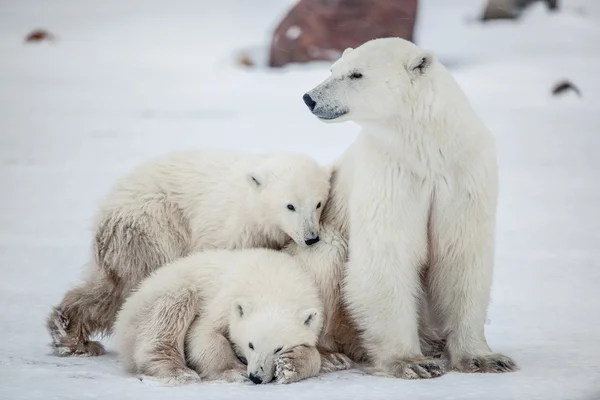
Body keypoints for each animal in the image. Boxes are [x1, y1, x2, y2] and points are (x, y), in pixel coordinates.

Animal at [47, 149, 330, 356]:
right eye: (290, 205)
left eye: (318, 203)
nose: (311, 238)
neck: (250, 208)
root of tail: (106, 208)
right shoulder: (224, 230)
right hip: (151, 226)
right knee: (130, 284)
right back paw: (73, 335)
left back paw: (70, 333)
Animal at [115, 247, 326, 384]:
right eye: (250, 344)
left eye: (278, 348)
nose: (256, 377)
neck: (274, 282)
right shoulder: (227, 298)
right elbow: (204, 332)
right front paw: (235, 372)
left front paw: (290, 366)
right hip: (154, 300)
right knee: (173, 306)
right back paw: (179, 371)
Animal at [302, 37, 516, 378]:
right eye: (333, 69)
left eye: (356, 74)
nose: (309, 98)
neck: (426, 148)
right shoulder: (391, 172)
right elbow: (389, 253)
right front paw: (411, 362)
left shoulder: (463, 173)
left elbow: (461, 255)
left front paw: (485, 358)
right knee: (327, 255)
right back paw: (330, 354)